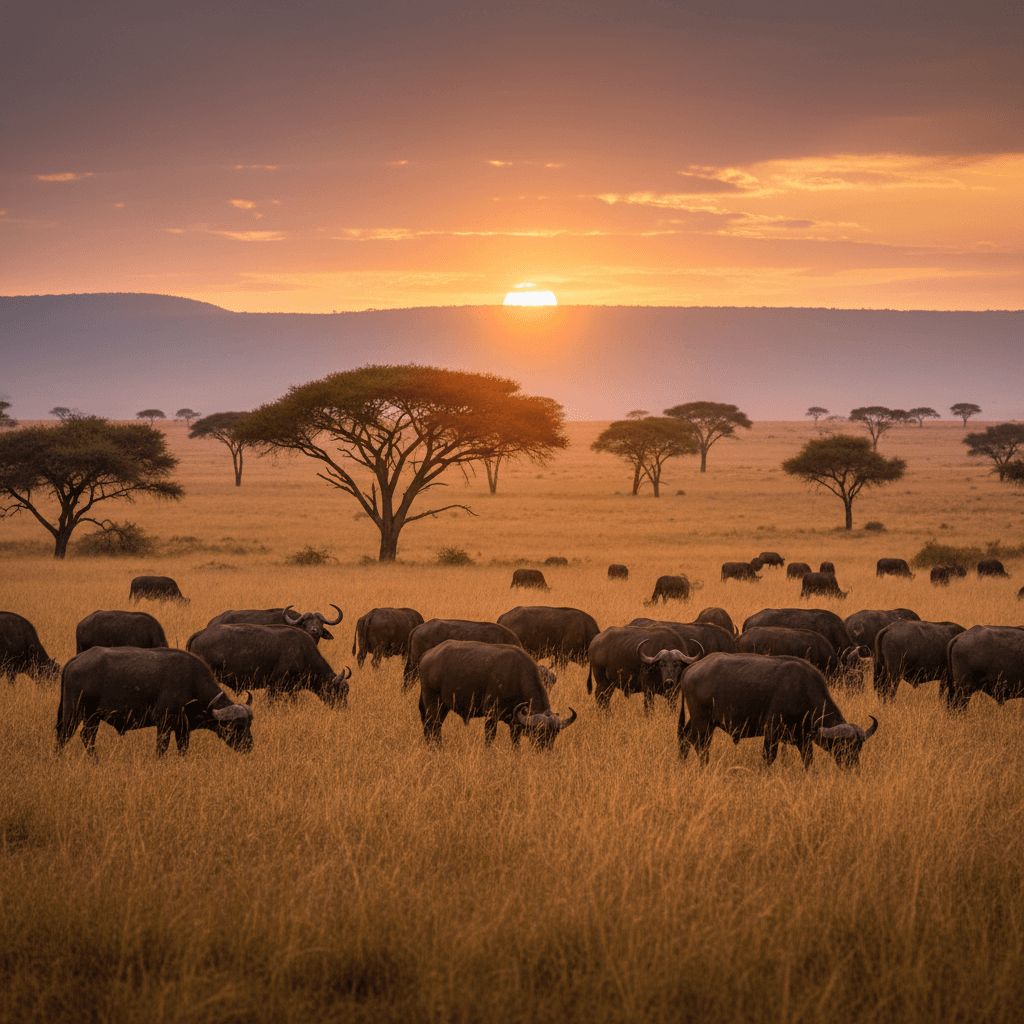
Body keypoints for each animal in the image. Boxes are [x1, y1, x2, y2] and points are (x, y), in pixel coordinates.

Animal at [56, 647, 254, 760]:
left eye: (249, 725)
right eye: (235, 726)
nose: (249, 746)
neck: (192, 683)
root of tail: (75, 660)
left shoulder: (183, 729)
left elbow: (183, 749)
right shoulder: (164, 723)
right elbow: (161, 748)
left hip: (92, 717)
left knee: (86, 736)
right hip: (73, 712)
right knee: (64, 735)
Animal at [419, 640, 576, 747]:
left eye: (555, 734)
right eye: (539, 733)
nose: (545, 750)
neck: (516, 677)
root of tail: (427, 654)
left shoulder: (515, 723)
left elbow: (515, 743)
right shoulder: (491, 715)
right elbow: (490, 739)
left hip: (443, 706)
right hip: (433, 703)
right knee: (431, 726)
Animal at [678, 653, 878, 769]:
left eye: (858, 747)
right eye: (843, 746)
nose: (853, 769)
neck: (803, 692)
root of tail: (691, 668)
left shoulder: (804, 739)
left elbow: (808, 760)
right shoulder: (772, 733)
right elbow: (768, 758)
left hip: (698, 721)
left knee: (685, 739)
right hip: (702, 722)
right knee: (700, 745)